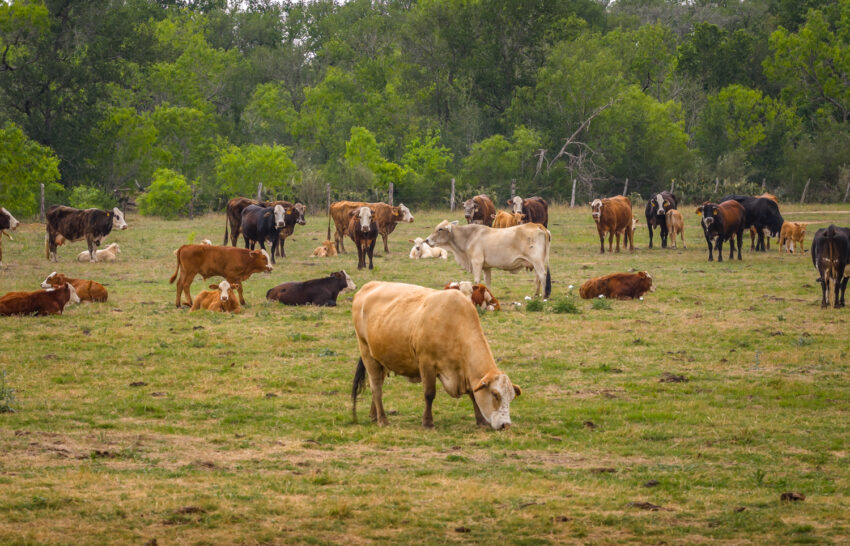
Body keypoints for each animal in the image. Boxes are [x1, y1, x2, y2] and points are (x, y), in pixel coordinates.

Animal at [351, 281, 521, 429]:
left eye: (511, 397)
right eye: (495, 395)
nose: (506, 425)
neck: (454, 324)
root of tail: (370, 285)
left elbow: (473, 394)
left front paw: (481, 421)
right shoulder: (427, 364)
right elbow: (429, 394)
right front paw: (427, 422)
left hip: (381, 358)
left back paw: (374, 415)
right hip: (367, 354)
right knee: (376, 387)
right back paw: (382, 420)